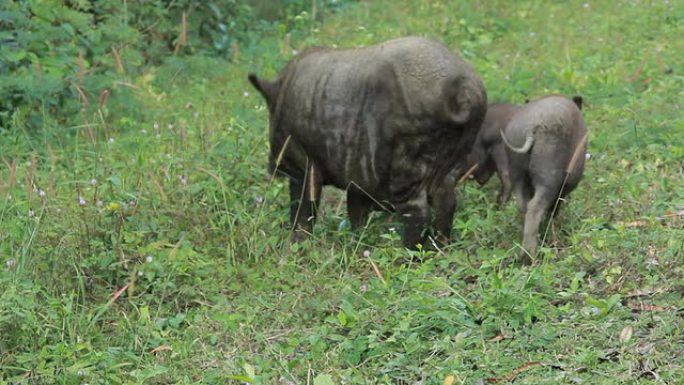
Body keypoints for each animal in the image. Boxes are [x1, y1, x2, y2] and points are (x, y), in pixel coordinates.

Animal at [250, 37, 486, 248]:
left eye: (272, 122)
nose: (273, 168)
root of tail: (460, 91)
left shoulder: (304, 164)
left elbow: (302, 206)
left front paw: (294, 245)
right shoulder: (358, 175)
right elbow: (354, 209)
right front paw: (357, 241)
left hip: (408, 160)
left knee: (417, 211)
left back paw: (406, 252)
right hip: (454, 158)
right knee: (446, 202)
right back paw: (440, 248)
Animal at [496, 94, 588, 260]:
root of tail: (531, 129)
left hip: (517, 170)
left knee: (523, 204)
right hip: (549, 171)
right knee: (535, 206)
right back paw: (529, 256)